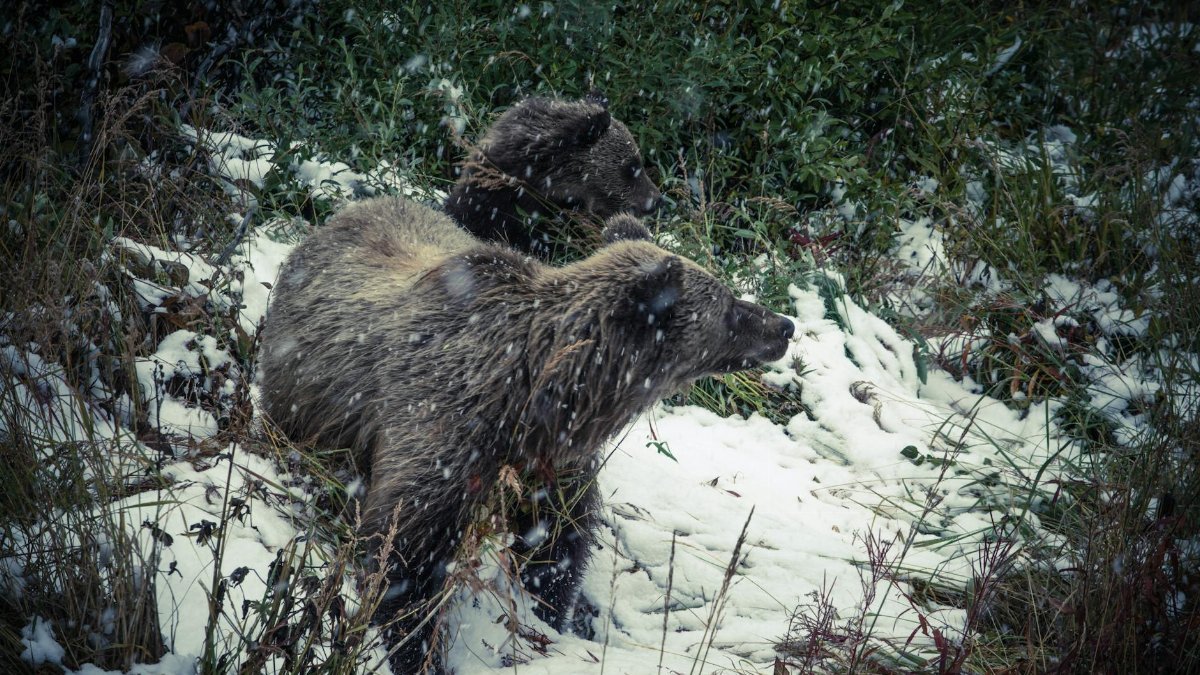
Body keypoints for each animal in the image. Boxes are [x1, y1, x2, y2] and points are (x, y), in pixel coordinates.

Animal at [258, 196, 795, 673]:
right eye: (729, 307)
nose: (784, 325)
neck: (539, 394)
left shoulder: (551, 463)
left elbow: (554, 543)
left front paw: (549, 613)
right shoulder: (443, 433)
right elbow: (404, 554)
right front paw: (416, 650)